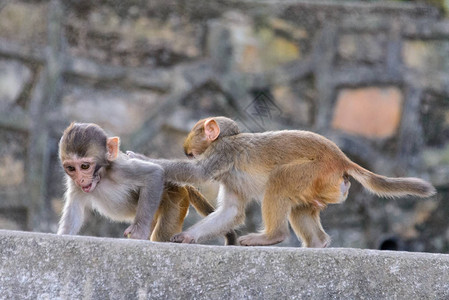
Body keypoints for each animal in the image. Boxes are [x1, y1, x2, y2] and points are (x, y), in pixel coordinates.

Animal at [57, 122, 236, 244]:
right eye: (71, 168)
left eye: (85, 166)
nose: (81, 179)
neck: (102, 176)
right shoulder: (73, 184)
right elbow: (74, 211)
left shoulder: (120, 169)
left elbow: (153, 174)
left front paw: (139, 232)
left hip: (176, 199)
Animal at [128, 116, 436, 247]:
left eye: (196, 130)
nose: (186, 146)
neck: (227, 139)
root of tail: (341, 159)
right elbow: (231, 212)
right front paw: (188, 236)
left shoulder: (222, 154)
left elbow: (197, 174)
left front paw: (141, 158)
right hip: (321, 185)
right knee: (301, 205)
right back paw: (318, 244)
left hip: (315, 172)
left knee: (280, 180)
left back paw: (272, 237)